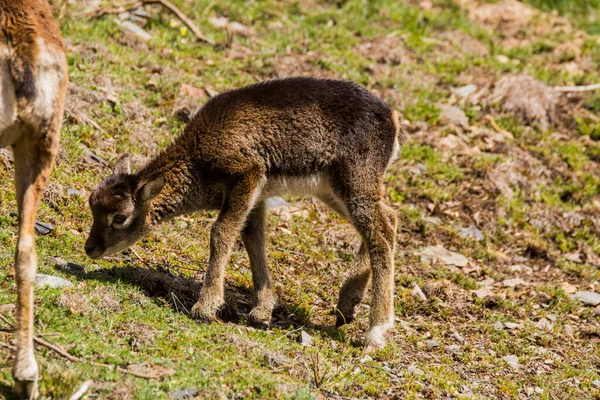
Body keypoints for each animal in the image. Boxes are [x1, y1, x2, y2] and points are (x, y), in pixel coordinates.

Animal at [85, 76, 404, 348]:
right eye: (93, 205)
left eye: (120, 217)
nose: (90, 248)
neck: (198, 163)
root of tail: (393, 119)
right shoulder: (257, 195)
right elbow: (253, 240)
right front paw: (261, 312)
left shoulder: (247, 174)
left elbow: (221, 232)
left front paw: (205, 307)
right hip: (334, 190)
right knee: (389, 218)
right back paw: (346, 307)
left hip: (355, 181)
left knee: (381, 234)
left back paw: (376, 331)